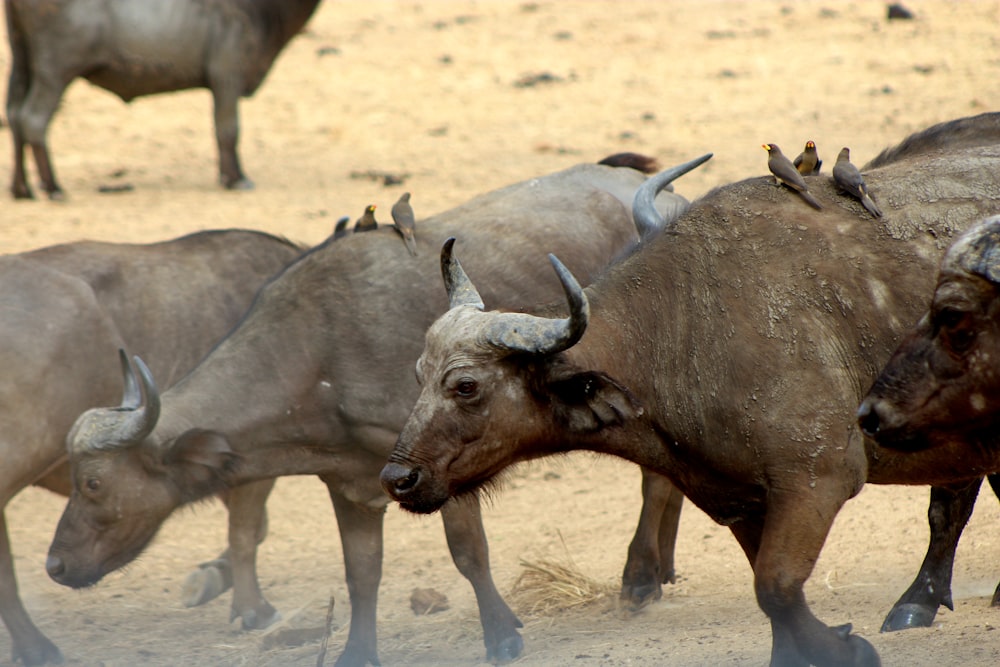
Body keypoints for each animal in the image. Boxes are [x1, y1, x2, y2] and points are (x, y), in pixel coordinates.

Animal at [1, 0, 318, 198]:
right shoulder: (227, 73)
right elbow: (228, 130)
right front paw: (235, 178)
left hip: (22, 60)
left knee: (15, 117)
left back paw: (21, 188)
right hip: (55, 71)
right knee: (33, 120)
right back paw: (52, 186)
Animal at [1, 228, 302, 664]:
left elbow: (254, 529)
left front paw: (209, 579)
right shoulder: (251, 457)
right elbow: (246, 532)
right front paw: (253, 609)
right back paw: (35, 645)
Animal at [43, 154, 708, 664]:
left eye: (93, 482)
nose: (55, 564)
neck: (319, 348)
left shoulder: (442, 469)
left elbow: (468, 554)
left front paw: (501, 634)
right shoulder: (351, 484)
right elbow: (361, 574)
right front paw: (356, 650)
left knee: (655, 478)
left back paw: (639, 577)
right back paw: (663, 568)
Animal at [384, 112, 1000, 664]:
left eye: (466, 386)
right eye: (417, 374)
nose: (397, 478)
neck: (681, 330)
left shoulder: (818, 478)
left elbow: (776, 587)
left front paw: (848, 648)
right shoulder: (737, 497)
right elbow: (773, 599)